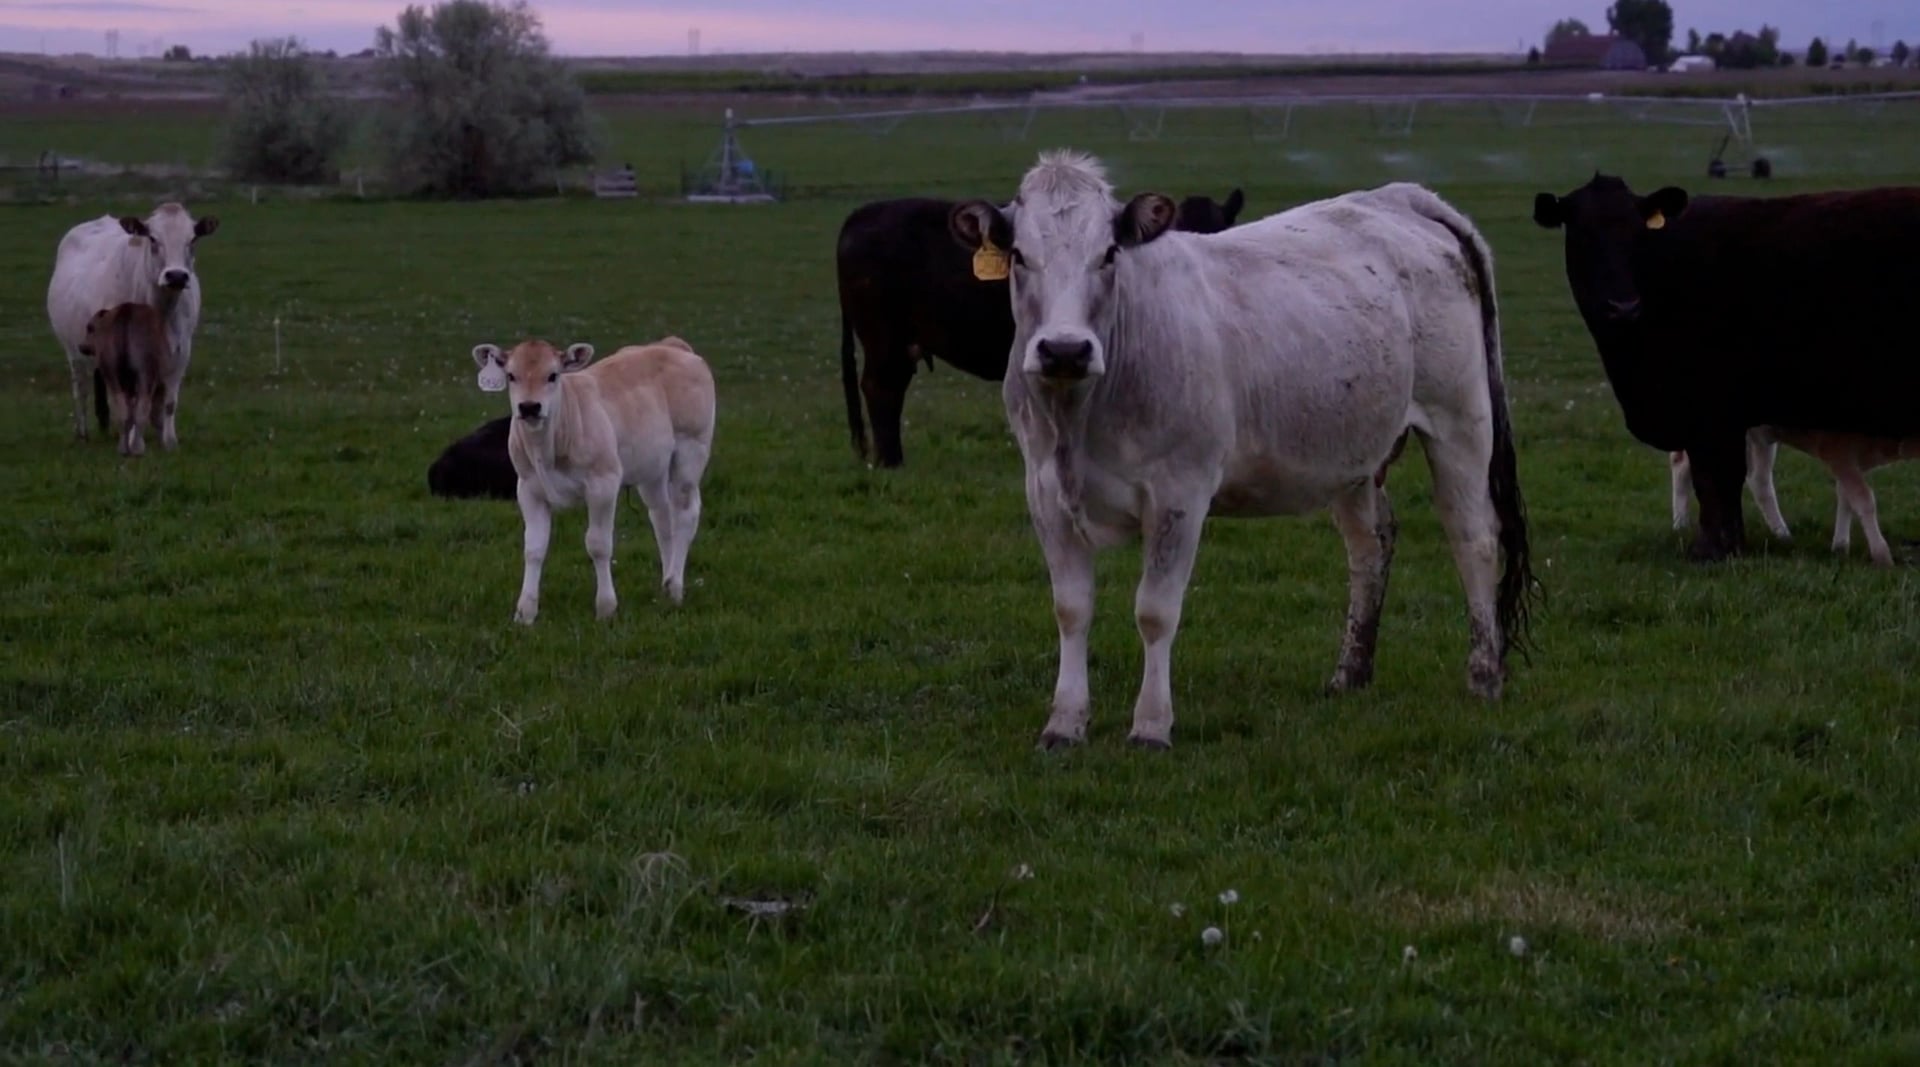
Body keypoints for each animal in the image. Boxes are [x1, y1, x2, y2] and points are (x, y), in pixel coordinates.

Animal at [76, 302, 174, 457]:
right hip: (146, 374)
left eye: (90, 328)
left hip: (112, 375)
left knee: (122, 411)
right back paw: (138, 449)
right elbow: (156, 415)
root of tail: (126, 311)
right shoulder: (161, 383)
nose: (81, 346)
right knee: (142, 409)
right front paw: (163, 445)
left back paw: (123, 448)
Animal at [470, 336, 716, 624]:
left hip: (691, 449)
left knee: (685, 514)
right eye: (511, 375)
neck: (548, 447)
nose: (530, 407)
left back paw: (676, 586)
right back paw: (666, 583)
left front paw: (606, 607)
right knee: (662, 518)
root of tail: (671, 345)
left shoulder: (603, 484)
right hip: (652, 467)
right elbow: (533, 548)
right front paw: (526, 611)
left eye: (553, 375)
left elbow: (598, 544)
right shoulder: (528, 489)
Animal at [947, 150, 1536, 750]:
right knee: (1370, 545)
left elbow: (1155, 611)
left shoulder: (1180, 494)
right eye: (1019, 256)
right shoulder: (1044, 492)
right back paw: (1350, 673)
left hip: (1459, 418)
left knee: (1473, 537)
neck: (1080, 416)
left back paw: (1484, 676)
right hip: (1354, 449)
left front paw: (1151, 726)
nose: (1064, 350)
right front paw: (1064, 723)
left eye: (1109, 253)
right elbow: (1071, 609)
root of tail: (1398, 197)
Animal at [1532, 173, 1920, 561]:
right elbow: (1716, 480)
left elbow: (1719, 478)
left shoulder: (1712, 411)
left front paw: (1715, 548)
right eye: (1581, 234)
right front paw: (1719, 546)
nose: (1623, 306)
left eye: (1638, 233)